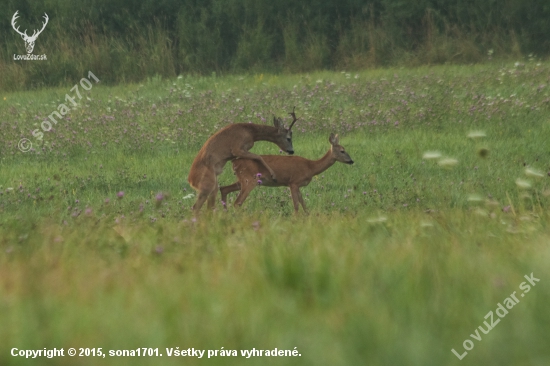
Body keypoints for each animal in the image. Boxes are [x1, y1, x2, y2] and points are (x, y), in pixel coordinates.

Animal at [219, 133, 354, 213]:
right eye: (342, 151)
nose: (351, 161)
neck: (311, 167)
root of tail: (234, 162)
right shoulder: (293, 182)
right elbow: (296, 205)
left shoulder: (297, 185)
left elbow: (303, 204)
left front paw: (308, 217)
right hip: (250, 179)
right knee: (237, 202)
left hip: (241, 179)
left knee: (224, 188)